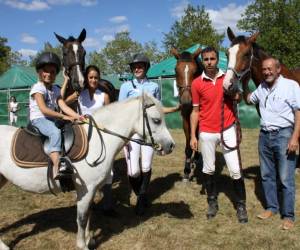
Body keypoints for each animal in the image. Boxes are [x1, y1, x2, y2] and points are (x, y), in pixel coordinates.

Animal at [0, 94, 176, 250]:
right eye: (156, 120)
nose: (170, 146)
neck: (97, 141)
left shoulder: (92, 189)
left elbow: (89, 214)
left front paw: (89, 239)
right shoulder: (86, 189)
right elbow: (82, 217)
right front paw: (82, 245)